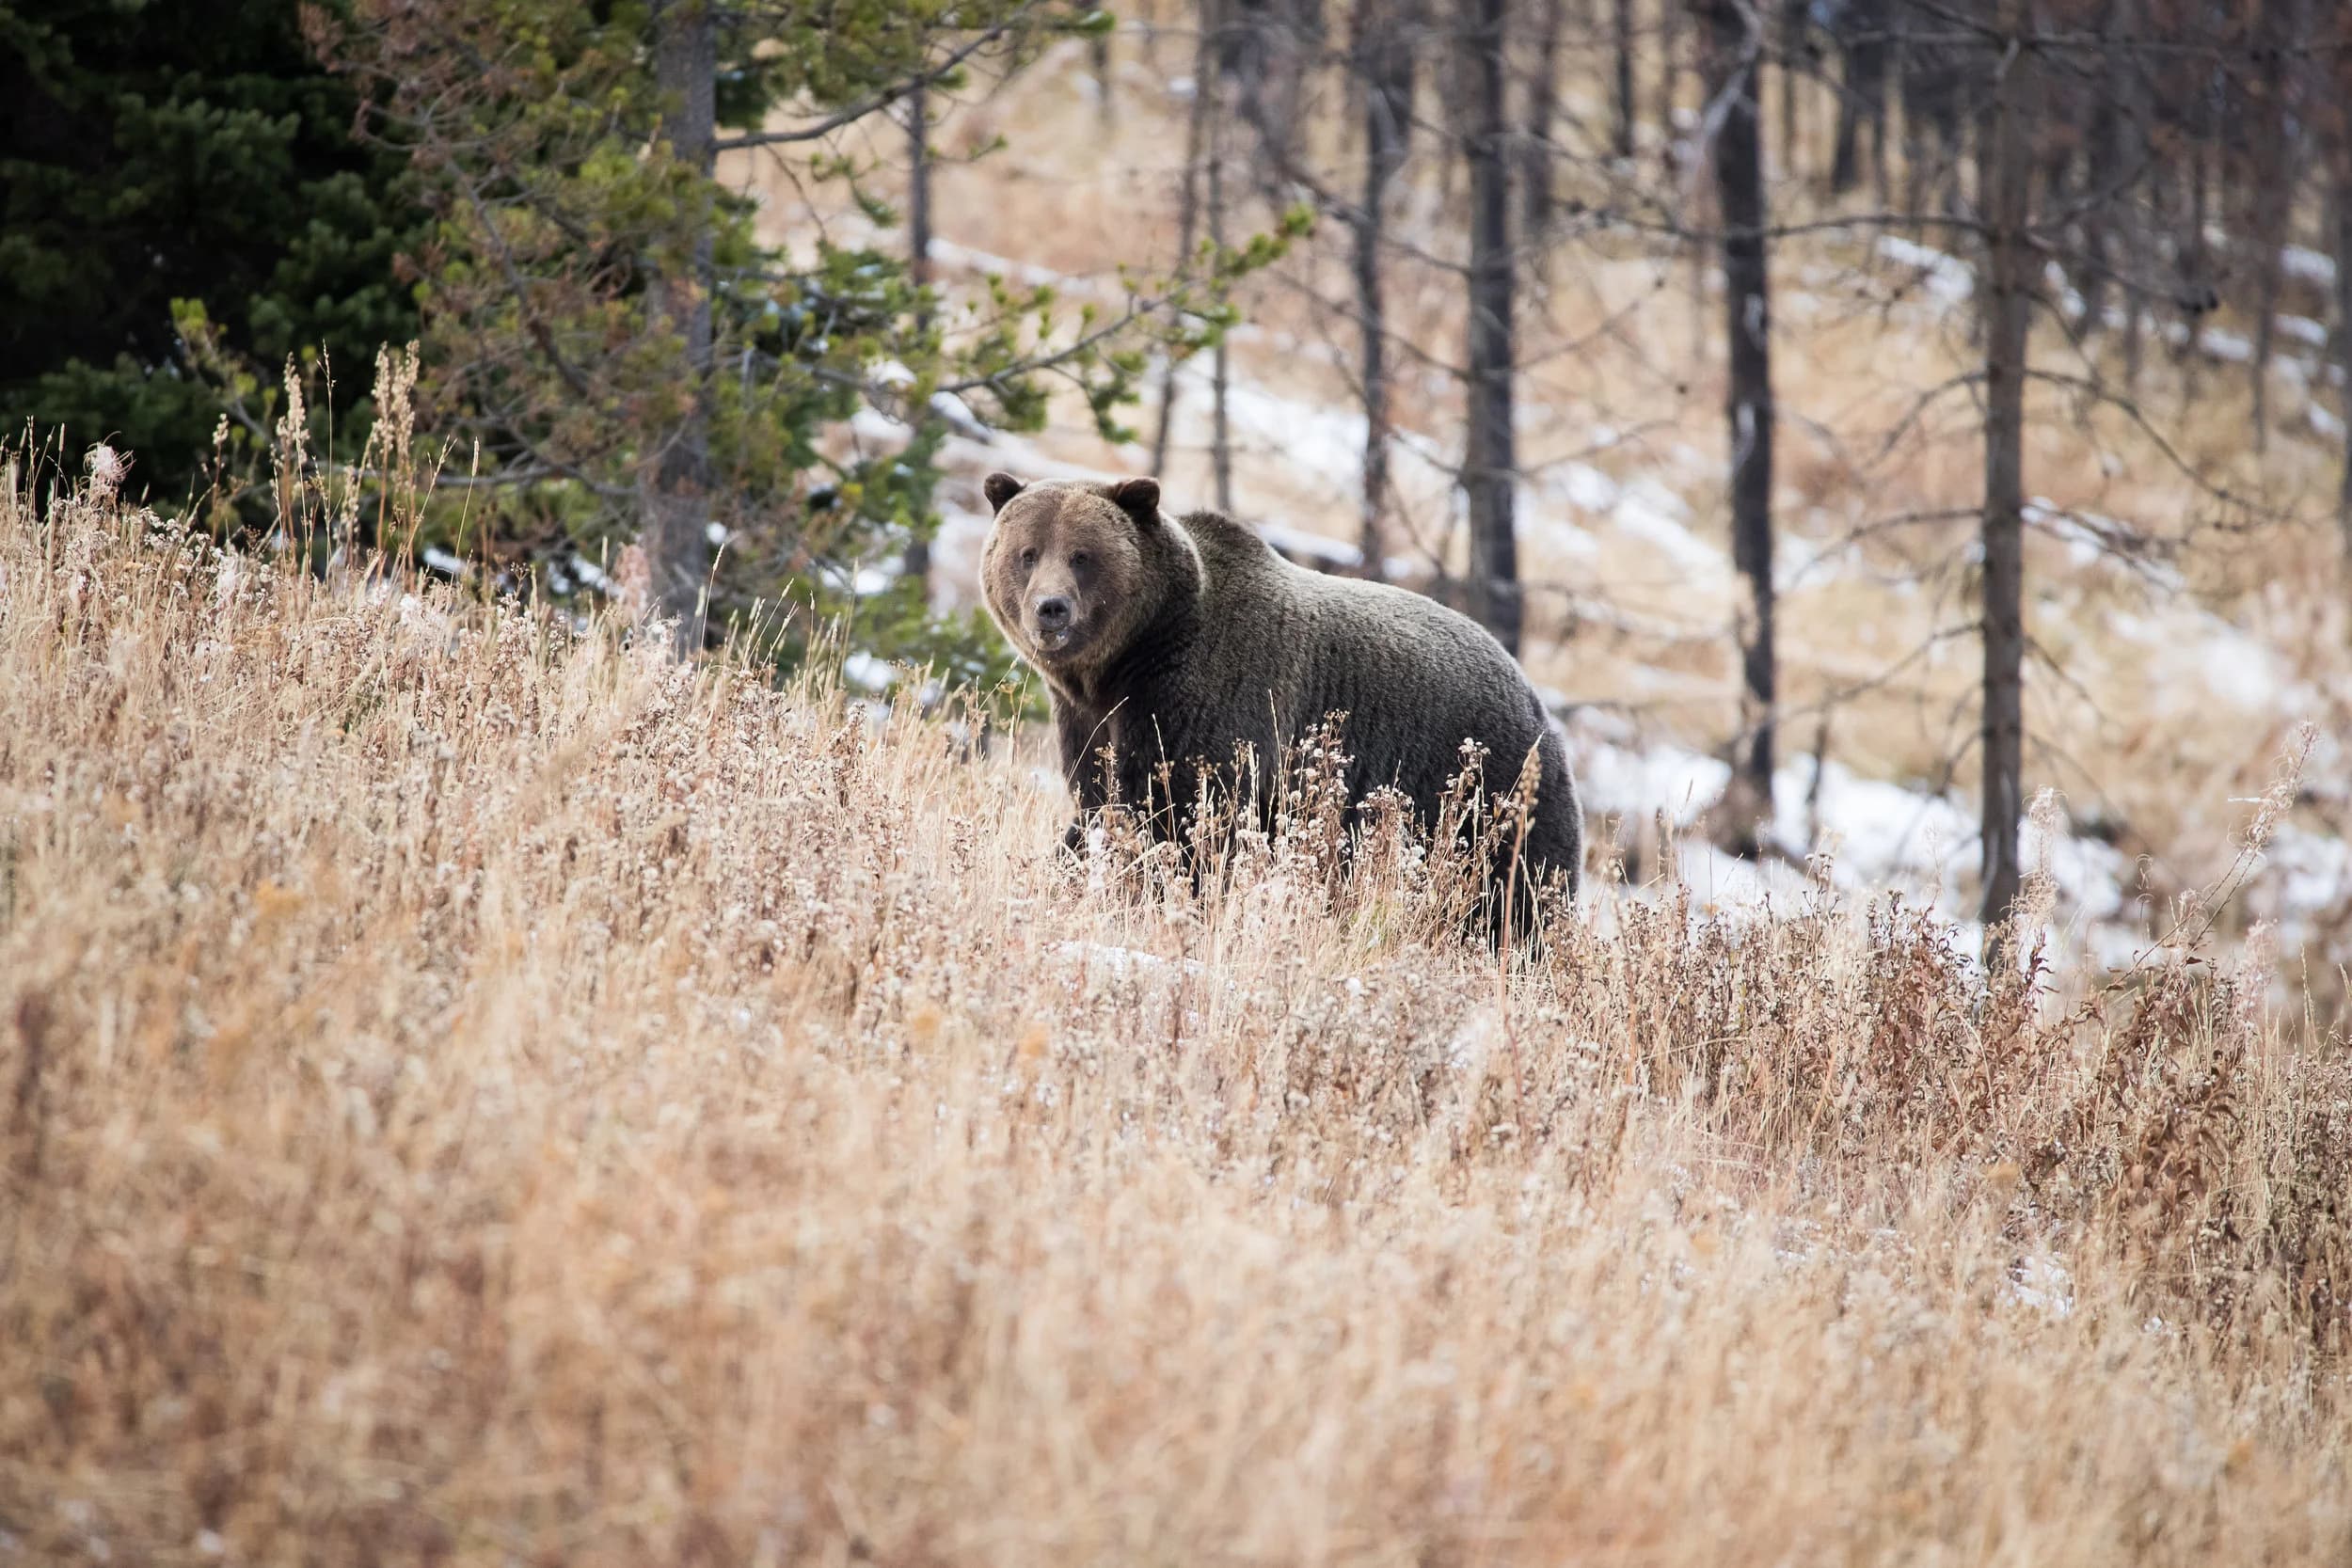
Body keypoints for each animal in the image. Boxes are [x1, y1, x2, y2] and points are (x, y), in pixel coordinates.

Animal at [978, 472, 1583, 928]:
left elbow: (1191, 817)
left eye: (1082, 556)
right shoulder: (1092, 720)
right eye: (1027, 553)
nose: (1051, 609)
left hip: (1485, 792)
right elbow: (1101, 805)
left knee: (1518, 896)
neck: (1131, 657)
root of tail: (1535, 698)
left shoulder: (1210, 699)